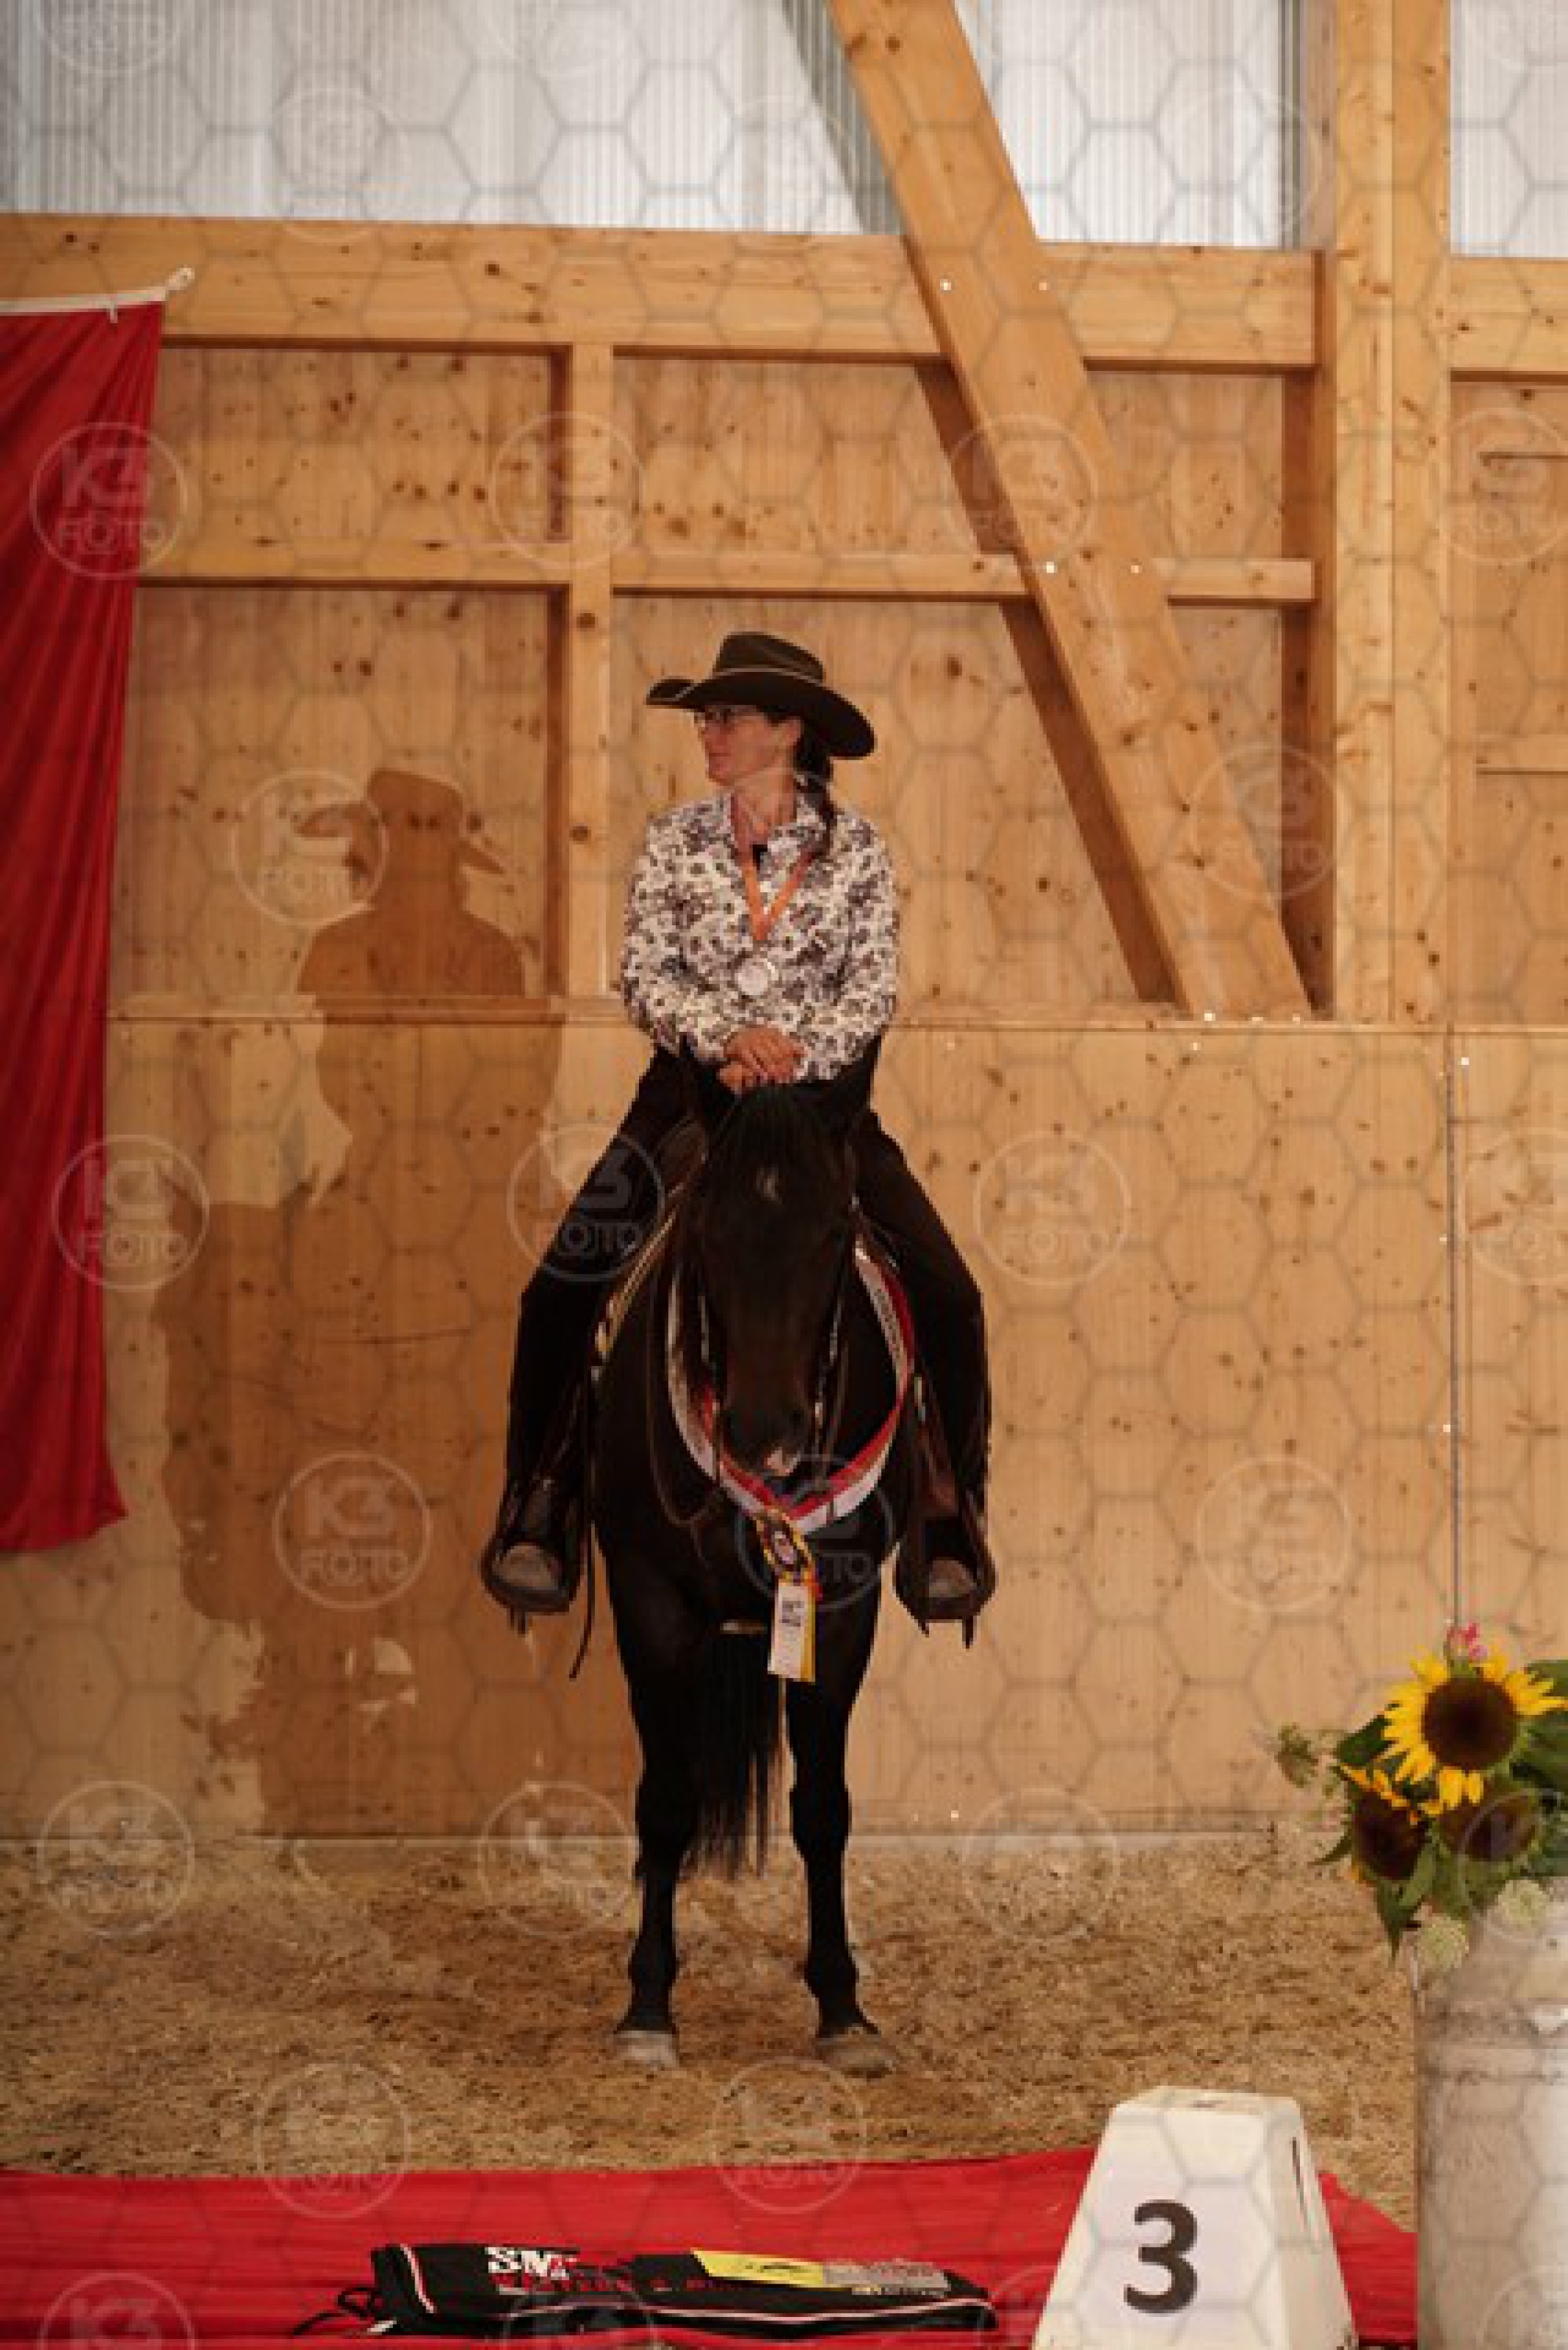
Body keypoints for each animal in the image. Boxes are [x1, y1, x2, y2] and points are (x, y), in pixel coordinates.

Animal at [590, 1062, 920, 2074]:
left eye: (834, 1231)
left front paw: (842, 2010)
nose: (761, 1432)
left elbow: (822, 1809)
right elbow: (665, 1802)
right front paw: (648, 2007)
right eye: (707, 1226)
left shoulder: (840, 1610)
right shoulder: (648, 1602)